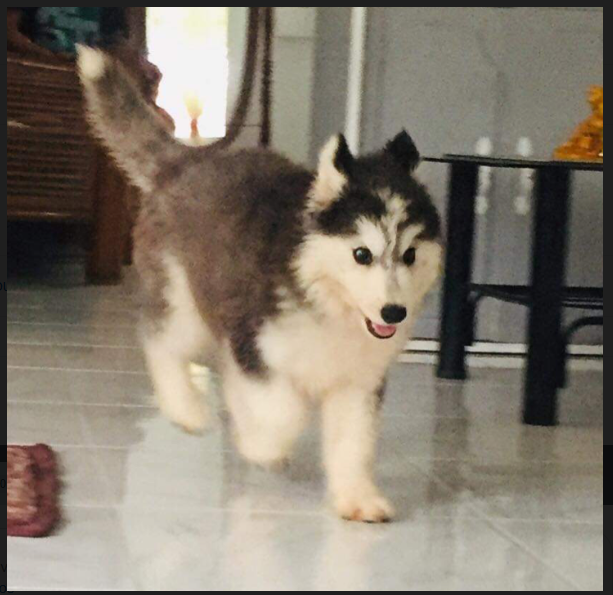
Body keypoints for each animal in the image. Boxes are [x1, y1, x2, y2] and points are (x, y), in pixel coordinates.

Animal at [77, 46, 443, 523]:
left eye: (410, 255)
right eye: (362, 254)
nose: (393, 313)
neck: (325, 300)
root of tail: (189, 161)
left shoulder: (358, 382)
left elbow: (354, 441)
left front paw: (358, 496)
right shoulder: (254, 344)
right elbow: (282, 411)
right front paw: (262, 446)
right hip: (184, 302)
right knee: (161, 344)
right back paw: (186, 409)